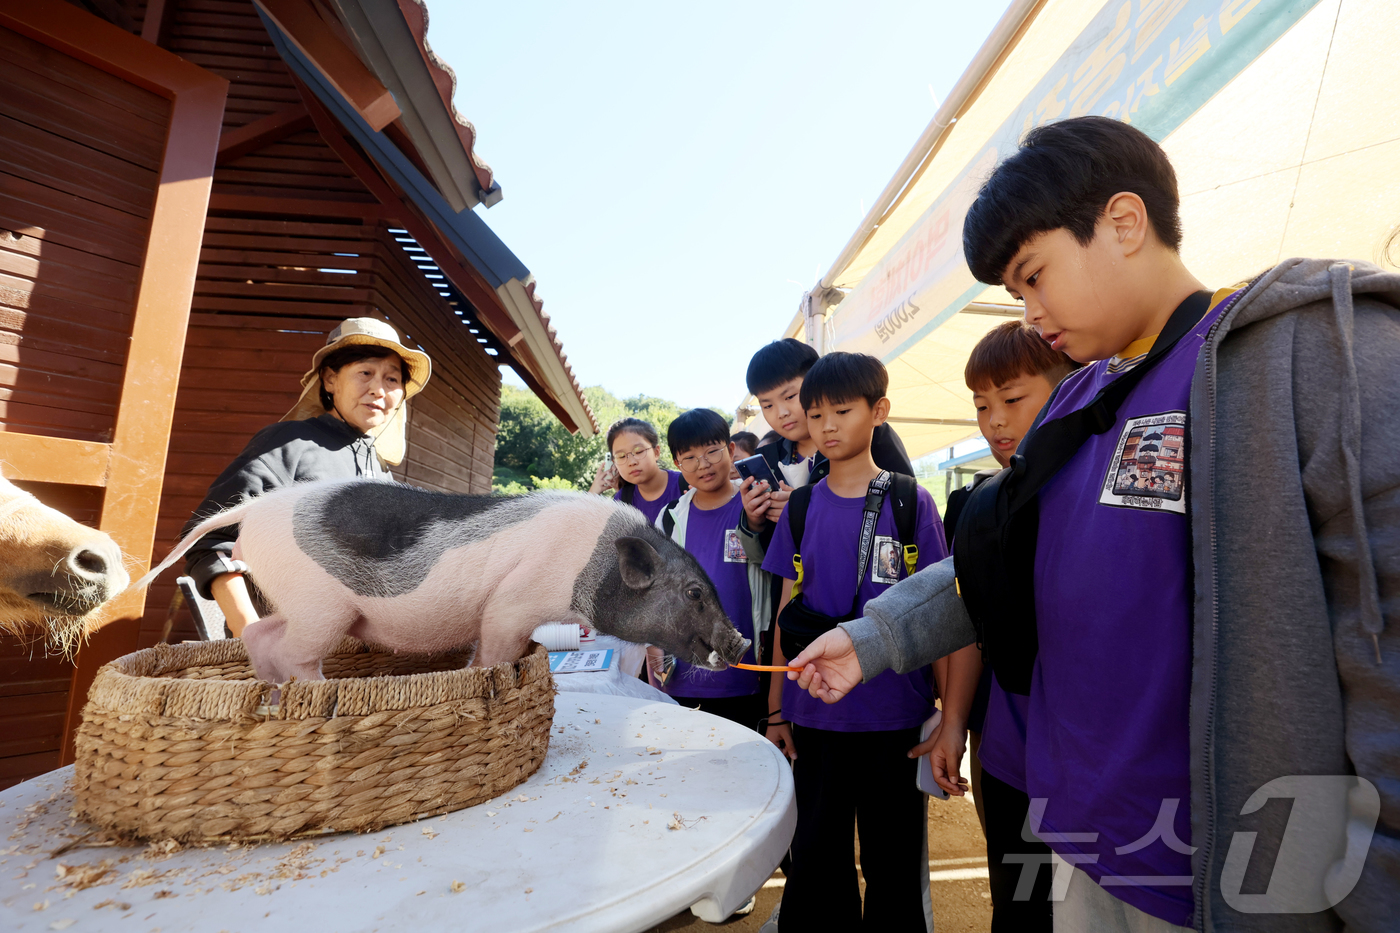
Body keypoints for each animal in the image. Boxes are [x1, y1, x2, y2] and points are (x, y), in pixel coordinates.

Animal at [139, 479, 756, 683]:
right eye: (695, 593)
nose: (743, 640)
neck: (593, 562)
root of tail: (254, 511)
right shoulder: (514, 601)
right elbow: (496, 647)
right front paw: (484, 677)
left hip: (296, 603)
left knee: (261, 637)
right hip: (322, 607)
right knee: (293, 651)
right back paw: (318, 691)